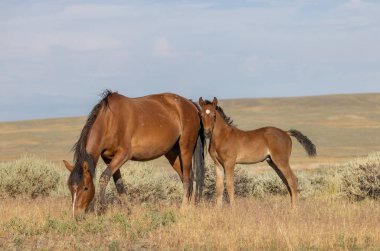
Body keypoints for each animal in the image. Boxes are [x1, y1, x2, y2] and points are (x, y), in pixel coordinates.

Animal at [62, 90, 205, 218]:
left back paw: (184, 209)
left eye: (85, 188)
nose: (76, 215)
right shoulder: (109, 158)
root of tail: (190, 104)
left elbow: (104, 178)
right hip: (172, 154)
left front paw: (101, 210)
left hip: (185, 148)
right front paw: (128, 211)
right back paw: (191, 208)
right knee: (188, 177)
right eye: (70, 188)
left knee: (187, 178)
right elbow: (119, 185)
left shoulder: (123, 155)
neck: (109, 120)